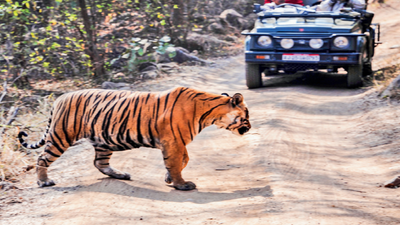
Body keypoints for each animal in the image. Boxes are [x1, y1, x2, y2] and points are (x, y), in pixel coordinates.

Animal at [18, 87, 252, 191]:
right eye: (246, 115)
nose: (250, 127)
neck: (209, 113)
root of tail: (61, 97)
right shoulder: (173, 142)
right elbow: (177, 163)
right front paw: (181, 184)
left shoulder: (178, 142)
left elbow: (182, 161)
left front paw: (168, 178)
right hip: (61, 136)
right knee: (41, 159)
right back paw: (44, 181)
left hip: (103, 140)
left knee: (99, 162)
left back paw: (120, 174)